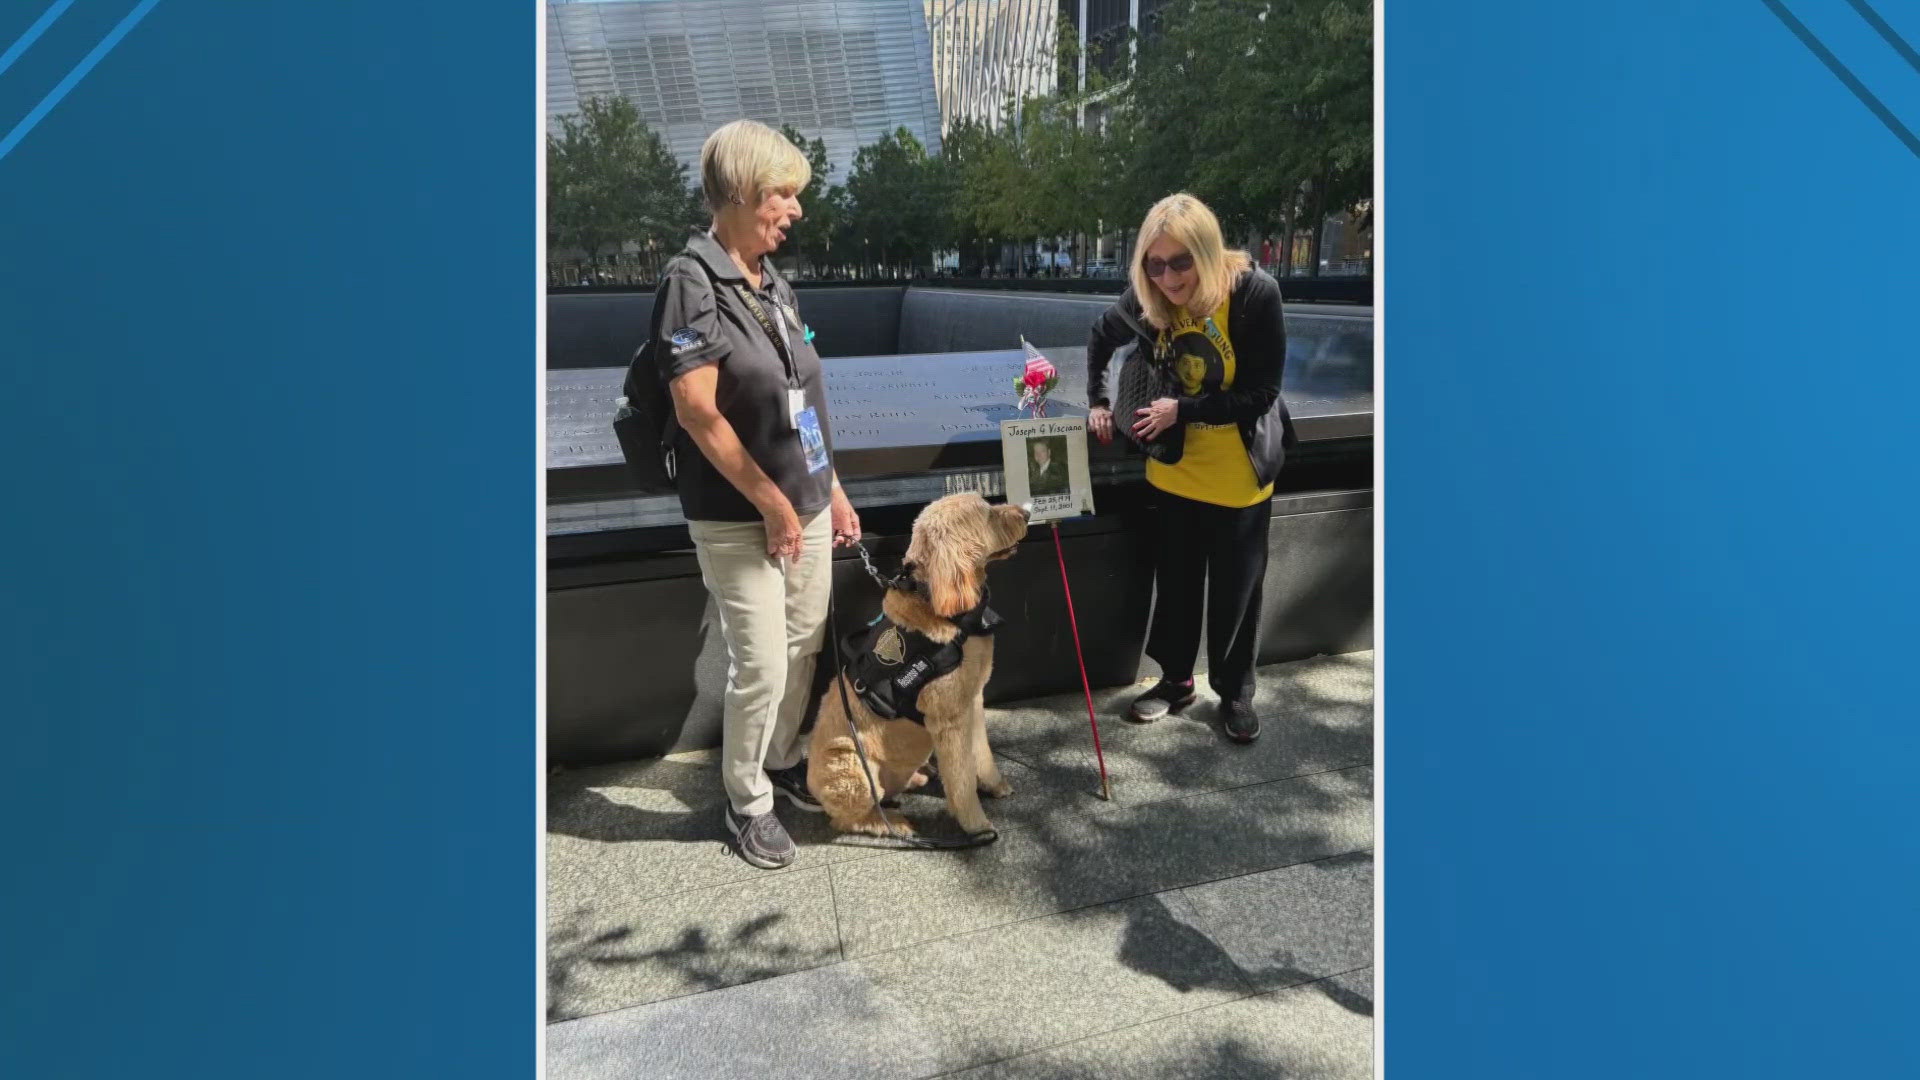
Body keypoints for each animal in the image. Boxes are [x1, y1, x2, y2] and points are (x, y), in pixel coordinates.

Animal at [806, 491, 1029, 837]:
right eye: (988, 514)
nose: (1026, 514)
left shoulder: (973, 701)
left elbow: (982, 753)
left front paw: (994, 785)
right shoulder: (948, 719)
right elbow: (961, 779)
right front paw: (976, 826)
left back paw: (917, 777)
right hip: (852, 767)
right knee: (847, 819)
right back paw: (892, 823)